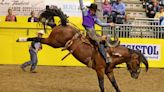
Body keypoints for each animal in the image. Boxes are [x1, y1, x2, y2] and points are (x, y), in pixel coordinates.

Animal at [16, 7, 149, 92]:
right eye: (138, 63)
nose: (136, 75)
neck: (111, 54)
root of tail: (64, 25)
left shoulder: (109, 71)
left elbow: (116, 85)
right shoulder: (100, 70)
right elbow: (102, 85)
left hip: (54, 41)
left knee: (48, 28)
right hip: (53, 42)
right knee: (38, 38)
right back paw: (20, 38)